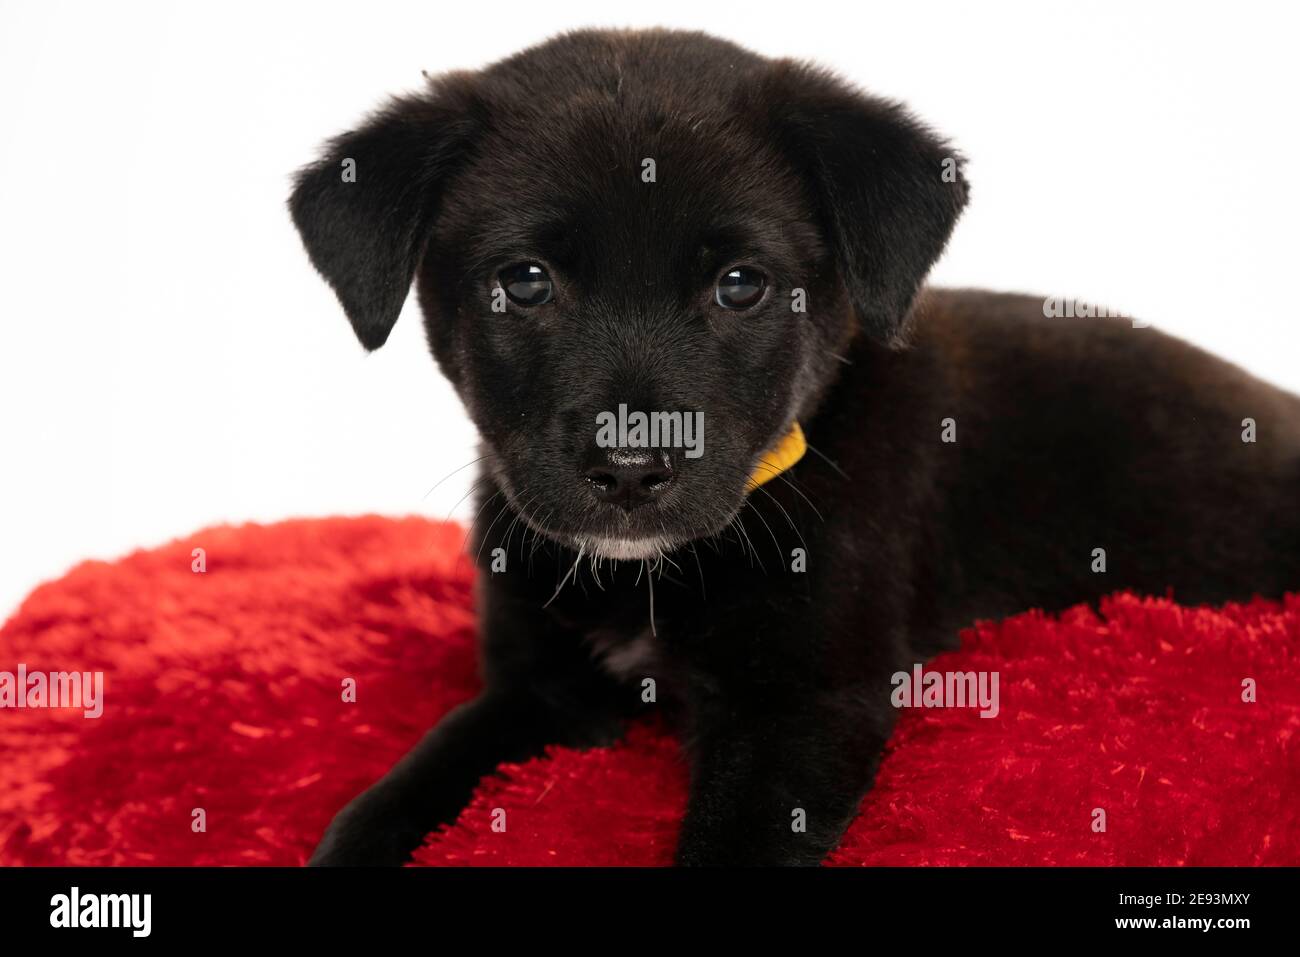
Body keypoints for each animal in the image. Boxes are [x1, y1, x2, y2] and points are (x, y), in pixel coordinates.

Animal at [292, 29, 1300, 868]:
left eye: (742, 285)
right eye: (525, 281)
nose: (631, 470)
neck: (649, 576)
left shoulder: (802, 710)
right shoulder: (539, 688)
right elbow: (406, 783)